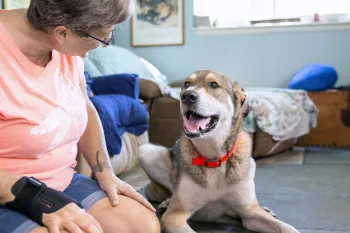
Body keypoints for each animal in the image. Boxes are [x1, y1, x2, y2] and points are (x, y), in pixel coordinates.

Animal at [138, 70, 300, 233]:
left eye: (214, 85)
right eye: (186, 84)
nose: (187, 96)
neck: (213, 158)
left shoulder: (250, 214)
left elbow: (287, 227)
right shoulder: (174, 216)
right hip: (146, 151)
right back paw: (166, 202)